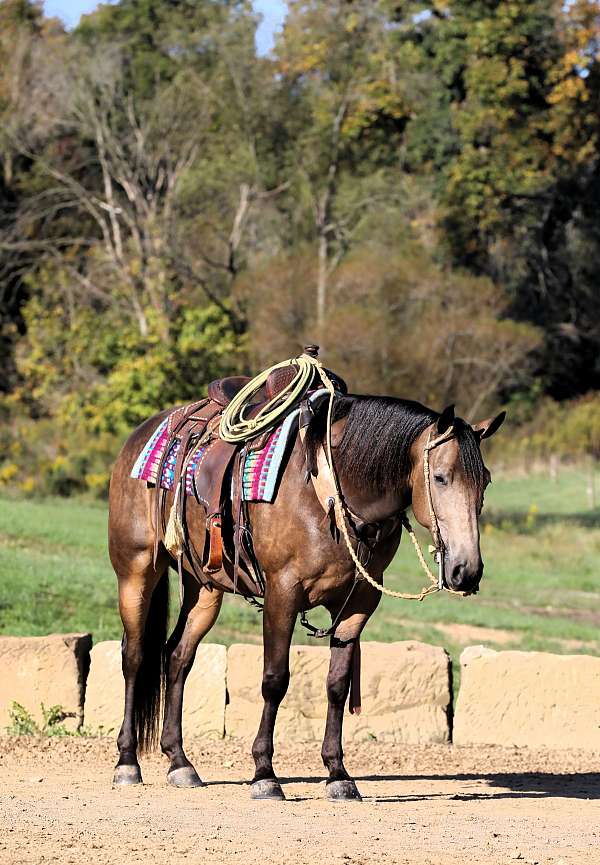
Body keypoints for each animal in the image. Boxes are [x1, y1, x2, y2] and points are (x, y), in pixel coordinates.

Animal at [109, 348, 506, 800]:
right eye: (440, 477)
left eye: (485, 481)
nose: (466, 570)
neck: (330, 488)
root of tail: (143, 433)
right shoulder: (283, 593)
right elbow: (275, 679)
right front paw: (264, 773)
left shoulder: (359, 603)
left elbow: (337, 684)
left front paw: (338, 773)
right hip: (137, 569)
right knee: (135, 655)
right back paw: (127, 762)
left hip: (204, 585)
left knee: (177, 656)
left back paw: (180, 762)